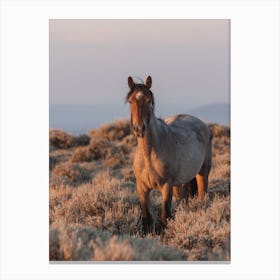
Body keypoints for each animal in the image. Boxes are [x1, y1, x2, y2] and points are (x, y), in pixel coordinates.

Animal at [126, 75, 211, 233]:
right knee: (182, 200)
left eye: (148, 101)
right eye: (130, 101)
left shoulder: (166, 186)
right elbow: (147, 219)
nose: (139, 128)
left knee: (203, 196)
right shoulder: (142, 189)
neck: (148, 154)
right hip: (179, 184)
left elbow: (165, 217)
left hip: (202, 173)